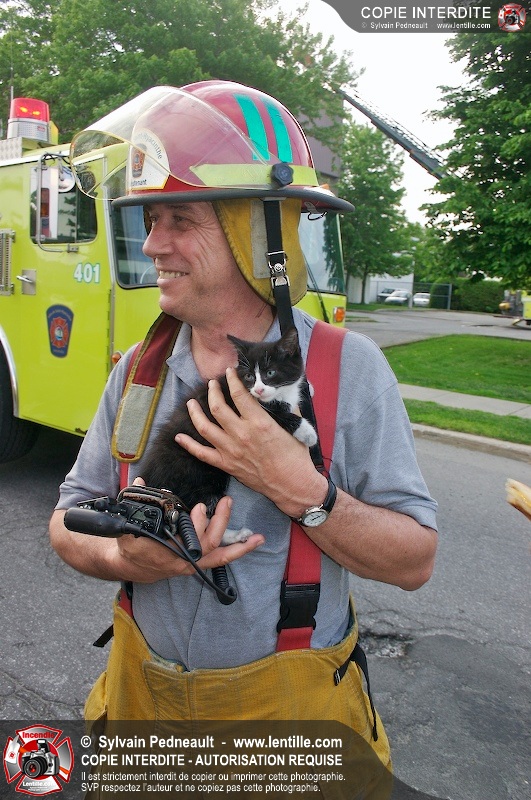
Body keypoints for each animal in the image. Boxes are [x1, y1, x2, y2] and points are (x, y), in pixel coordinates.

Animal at [141, 326, 317, 544]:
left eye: (270, 372)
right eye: (249, 376)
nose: (259, 389)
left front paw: (306, 388)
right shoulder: (239, 407)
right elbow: (278, 415)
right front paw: (307, 432)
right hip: (200, 473)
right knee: (201, 513)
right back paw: (234, 535)